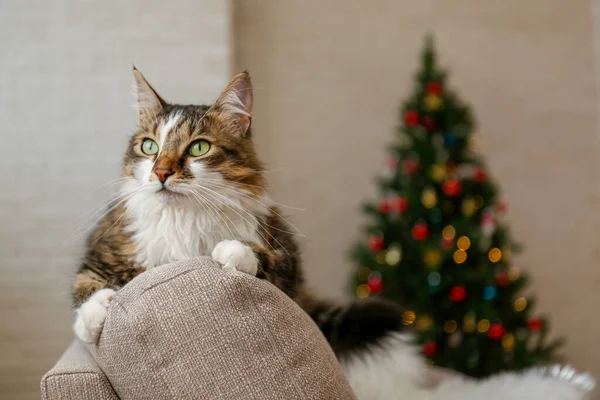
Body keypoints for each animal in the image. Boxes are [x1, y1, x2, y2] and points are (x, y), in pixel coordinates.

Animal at [72, 67, 406, 360]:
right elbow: (85, 286)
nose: (161, 172)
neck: (183, 220)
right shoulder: (102, 250)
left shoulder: (287, 259)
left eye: (199, 148)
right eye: (150, 147)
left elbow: (258, 255)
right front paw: (93, 318)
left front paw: (230, 250)